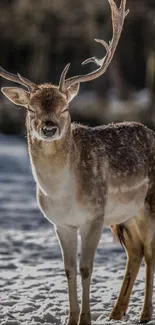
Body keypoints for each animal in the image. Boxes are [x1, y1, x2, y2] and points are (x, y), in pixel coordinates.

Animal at [0, 0, 155, 322]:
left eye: (65, 107)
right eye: (31, 109)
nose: (49, 128)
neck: (63, 194)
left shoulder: (94, 216)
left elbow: (86, 268)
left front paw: (85, 318)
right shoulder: (61, 224)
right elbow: (69, 270)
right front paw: (71, 318)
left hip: (148, 203)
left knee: (149, 252)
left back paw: (144, 313)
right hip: (124, 216)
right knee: (135, 251)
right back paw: (116, 312)